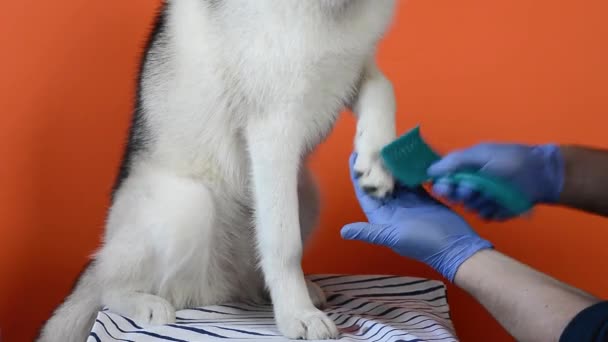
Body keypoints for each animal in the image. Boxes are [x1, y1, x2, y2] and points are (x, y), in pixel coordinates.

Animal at [39, 1, 400, 340]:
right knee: (108, 287)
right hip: (186, 205)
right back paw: (144, 302)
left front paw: (376, 158)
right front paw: (297, 315)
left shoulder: (353, 68)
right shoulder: (274, 125)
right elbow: (284, 242)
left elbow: (383, 88)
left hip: (305, 194)